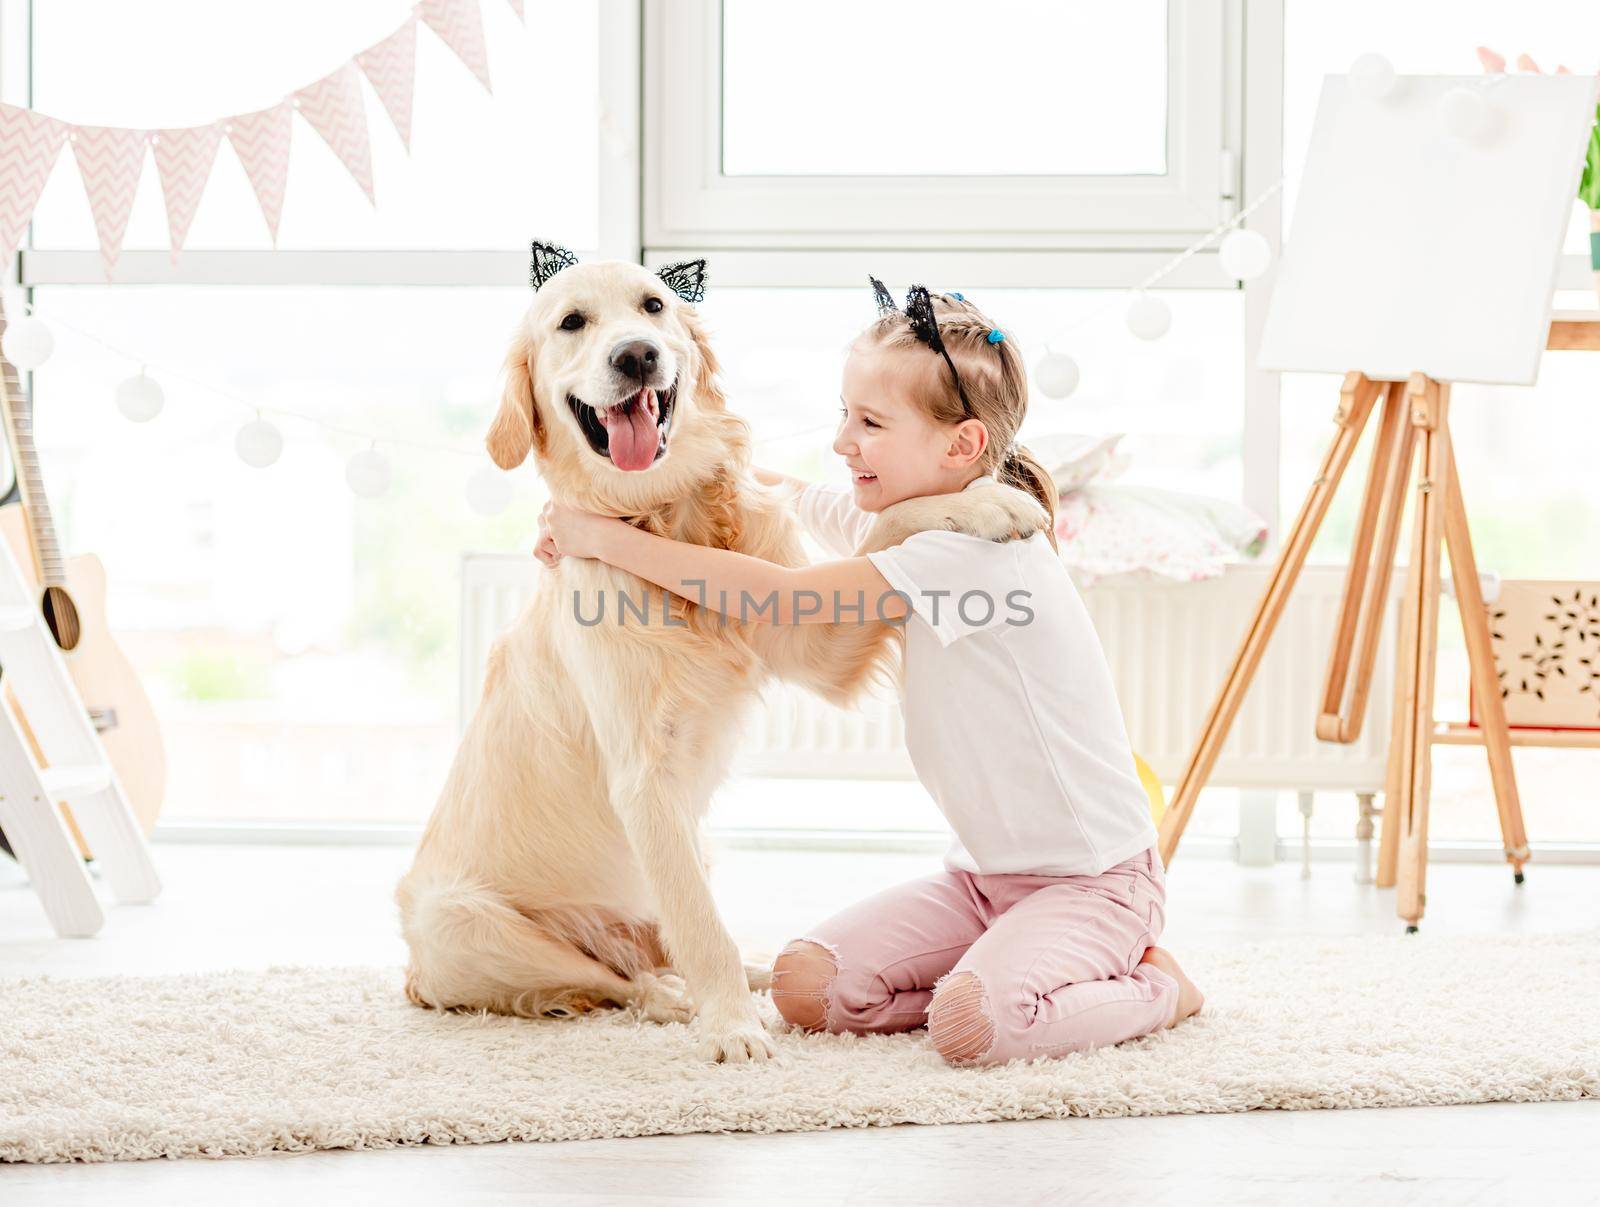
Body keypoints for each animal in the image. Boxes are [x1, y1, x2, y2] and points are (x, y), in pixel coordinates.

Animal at [392, 240, 908, 1056]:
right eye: (571, 321)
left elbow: (892, 528)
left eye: (654, 306)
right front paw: (731, 1028)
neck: (665, 514)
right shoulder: (644, 775)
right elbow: (700, 925)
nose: (637, 355)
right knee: (622, 978)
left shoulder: (813, 633)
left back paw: (759, 971)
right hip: (459, 921)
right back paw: (675, 997)